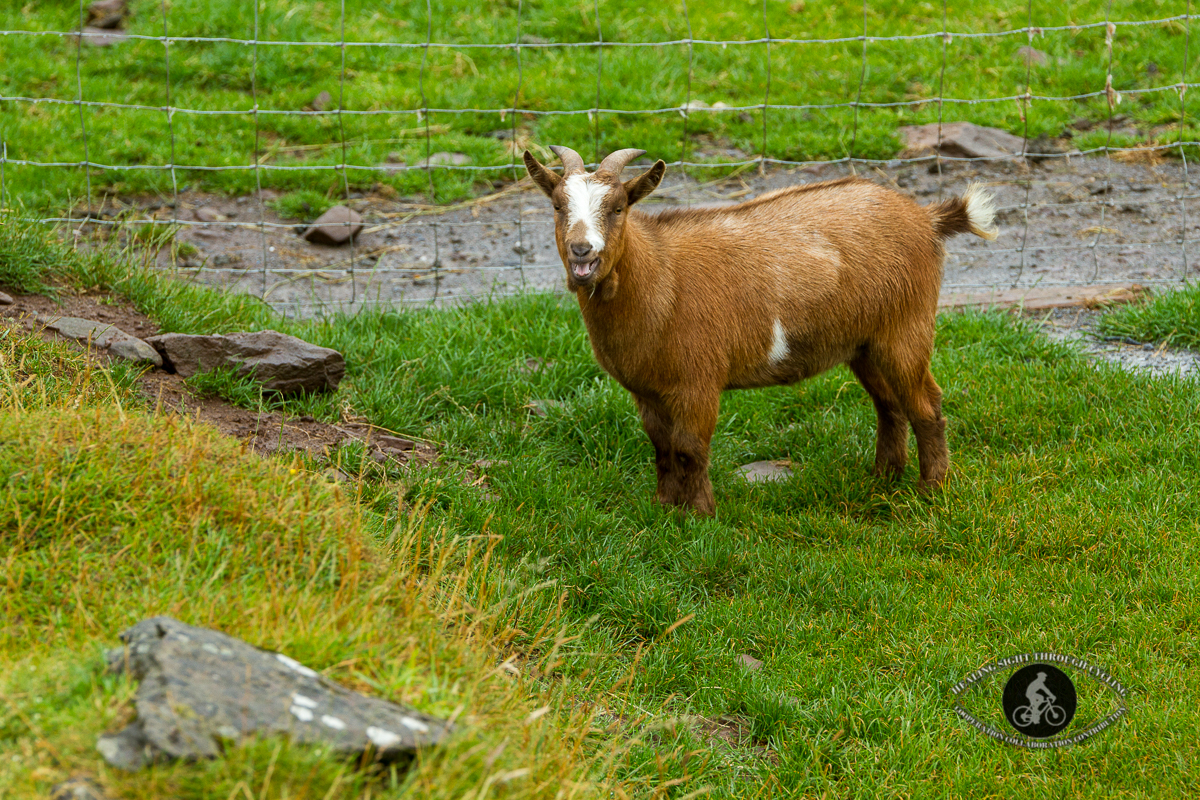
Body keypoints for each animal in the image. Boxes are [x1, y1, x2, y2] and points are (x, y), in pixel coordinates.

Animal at [525, 146, 1003, 515]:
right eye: (557, 206)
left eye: (619, 207)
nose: (582, 251)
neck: (660, 278)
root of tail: (927, 218)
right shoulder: (647, 390)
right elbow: (662, 449)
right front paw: (665, 507)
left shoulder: (698, 382)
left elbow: (690, 449)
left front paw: (700, 516)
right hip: (864, 343)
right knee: (889, 405)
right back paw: (884, 477)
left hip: (906, 328)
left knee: (926, 405)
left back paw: (930, 490)